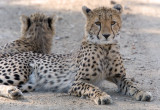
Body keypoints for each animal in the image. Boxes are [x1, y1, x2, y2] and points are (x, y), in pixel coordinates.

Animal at [0, 4, 152, 104]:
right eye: (98, 23)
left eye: (113, 22)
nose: (106, 35)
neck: (106, 48)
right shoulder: (77, 82)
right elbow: (91, 87)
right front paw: (102, 95)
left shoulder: (119, 77)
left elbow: (132, 84)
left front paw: (142, 92)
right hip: (20, 71)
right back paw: (12, 91)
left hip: (29, 84)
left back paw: (13, 92)